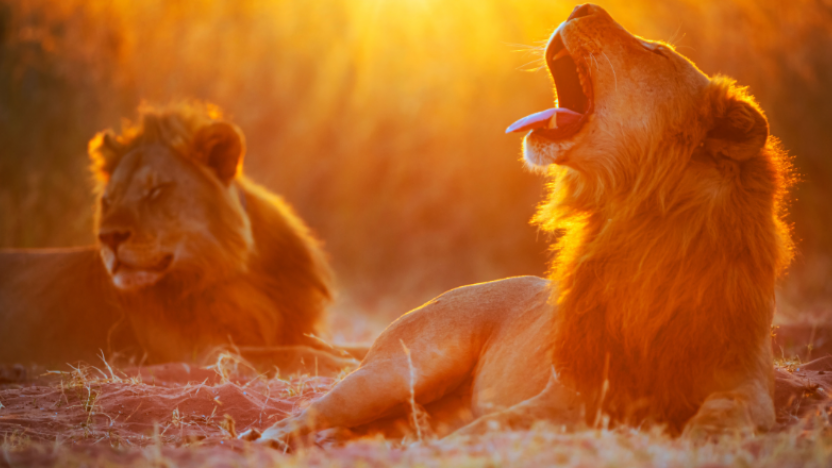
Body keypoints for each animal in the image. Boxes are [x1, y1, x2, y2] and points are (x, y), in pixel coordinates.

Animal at [0, 103, 360, 374]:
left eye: (156, 190)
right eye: (109, 200)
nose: (109, 238)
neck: (237, 275)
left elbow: (350, 345)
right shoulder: (201, 352)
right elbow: (294, 353)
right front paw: (342, 366)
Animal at [242, 4, 793, 446]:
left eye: (656, 52)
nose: (582, 6)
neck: (640, 226)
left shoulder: (744, 382)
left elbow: (731, 412)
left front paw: (706, 436)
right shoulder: (573, 388)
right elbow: (497, 424)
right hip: (400, 370)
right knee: (309, 410)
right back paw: (266, 438)